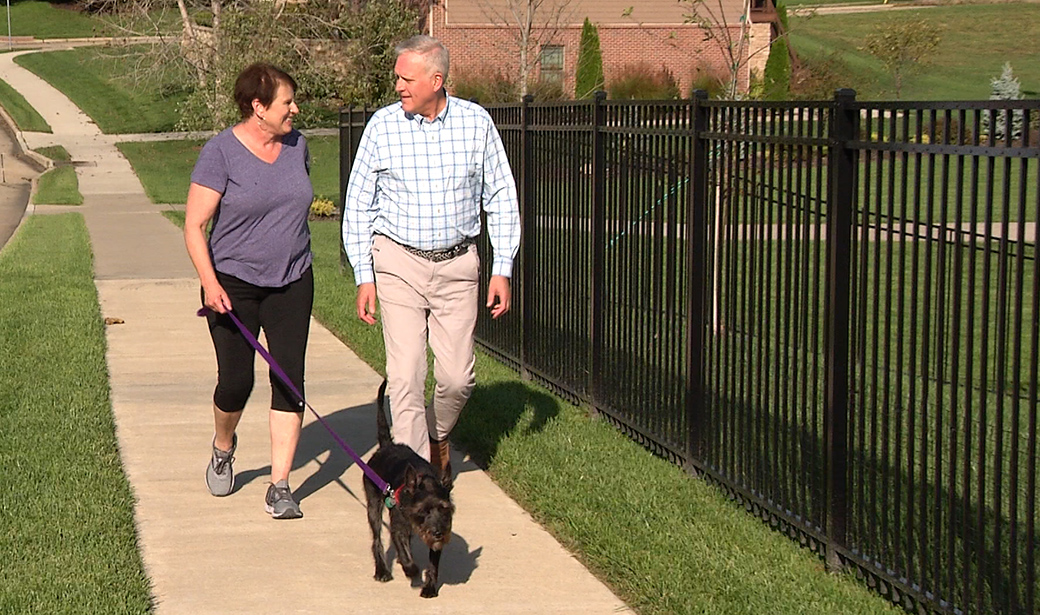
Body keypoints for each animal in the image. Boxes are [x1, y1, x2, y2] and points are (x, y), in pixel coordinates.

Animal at [364, 378, 453, 599]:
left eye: (444, 508)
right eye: (423, 511)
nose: (438, 533)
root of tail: (386, 445)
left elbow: (433, 564)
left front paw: (429, 587)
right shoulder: (398, 527)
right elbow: (403, 549)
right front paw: (411, 569)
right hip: (373, 505)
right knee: (376, 539)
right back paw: (382, 570)